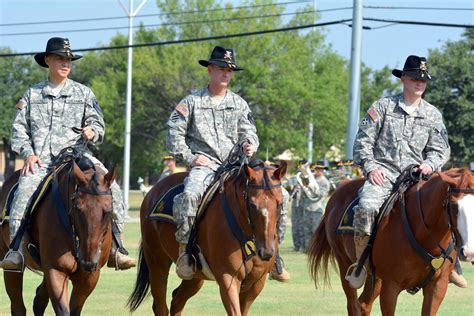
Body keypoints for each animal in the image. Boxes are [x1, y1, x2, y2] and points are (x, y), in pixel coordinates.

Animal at [0, 158, 116, 316]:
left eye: (108, 210)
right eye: (77, 208)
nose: (88, 262)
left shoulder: (89, 277)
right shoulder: (55, 270)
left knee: (39, 300)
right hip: (10, 263)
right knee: (18, 306)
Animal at [126, 162, 286, 314]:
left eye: (280, 203)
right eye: (252, 204)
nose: (266, 251)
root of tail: (153, 190)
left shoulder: (256, 283)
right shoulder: (228, 279)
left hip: (195, 276)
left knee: (177, 300)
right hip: (157, 262)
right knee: (160, 306)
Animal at [308, 167, 474, 314]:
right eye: (454, 205)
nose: (469, 252)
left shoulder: (437, 287)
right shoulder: (390, 288)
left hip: (375, 277)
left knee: (364, 305)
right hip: (344, 264)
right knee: (353, 306)